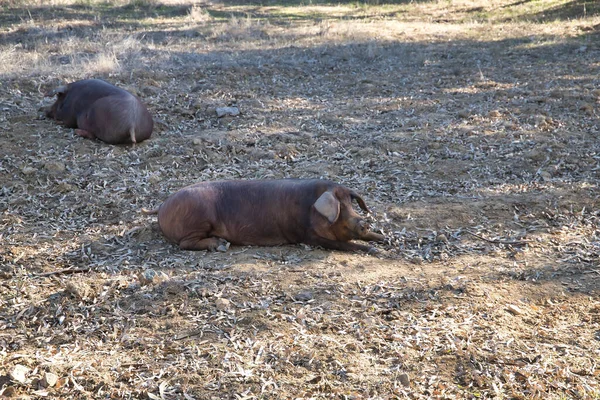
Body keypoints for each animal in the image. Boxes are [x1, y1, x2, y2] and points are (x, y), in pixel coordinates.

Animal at [142, 179, 384, 252]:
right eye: (339, 209)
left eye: (351, 204)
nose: (363, 223)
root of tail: (162, 206)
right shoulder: (309, 236)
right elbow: (343, 244)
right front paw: (373, 250)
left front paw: (383, 239)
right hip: (198, 219)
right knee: (185, 243)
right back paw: (219, 244)